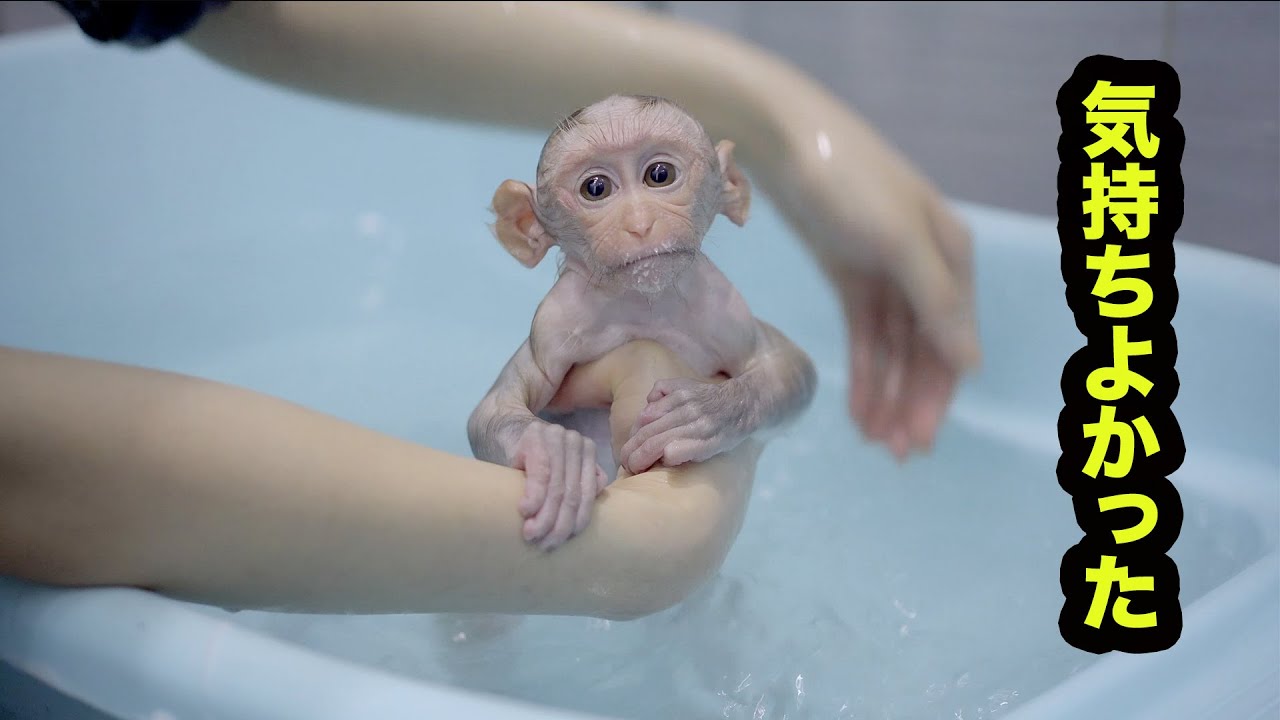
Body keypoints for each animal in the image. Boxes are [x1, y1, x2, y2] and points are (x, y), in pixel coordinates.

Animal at [468, 94, 817, 552]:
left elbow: (789, 367)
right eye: (596, 188)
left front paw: (707, 413)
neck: (645, 304)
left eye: (660, 175)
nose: (639, 223)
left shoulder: (726, 312)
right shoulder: (553, 326)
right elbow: (496, 409)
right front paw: (554, 455)